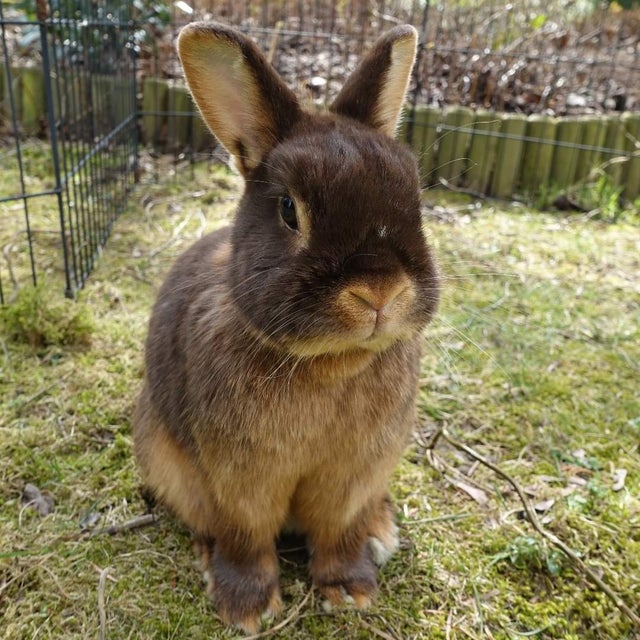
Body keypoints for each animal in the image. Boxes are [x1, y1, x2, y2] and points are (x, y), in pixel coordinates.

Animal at [132, 21, 438, 636]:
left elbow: (337, 529)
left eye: (415, 195)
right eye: (289, 210)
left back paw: (380, 531)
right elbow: (246, 535)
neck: (330, 362)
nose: (380, 292)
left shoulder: (353, 475)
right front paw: (246, 608)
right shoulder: (240, 480)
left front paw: (349, 591)